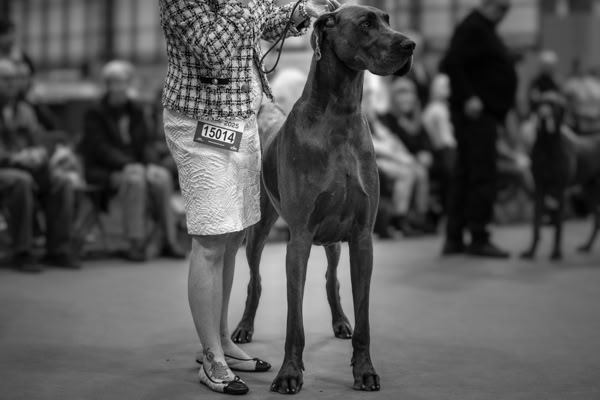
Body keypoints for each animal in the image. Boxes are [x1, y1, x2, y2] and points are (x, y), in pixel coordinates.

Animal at [234, 5, 414, 394]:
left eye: (388, 19)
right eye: (366, 23)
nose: (410, 45)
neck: (340, 116)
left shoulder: (362, 236)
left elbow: (364, 318)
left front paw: (364, 370)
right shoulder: (299, 238)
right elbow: (294, 321)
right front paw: (289, 373)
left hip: (333, 238)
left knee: (332, 278)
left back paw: (340, 321)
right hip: (259, 229)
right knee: (255, 280)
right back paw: (243, 327)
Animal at [521, 91, 600, 260]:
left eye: (552, 105)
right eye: (540, 104)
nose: (543, 116)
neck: (547, 145)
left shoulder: (560, 190)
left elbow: (558, 225)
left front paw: (556, 253)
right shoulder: (539, 188)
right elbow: (536, 223)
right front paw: (531, 252)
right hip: (588, 191)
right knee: (597, 220)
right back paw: (587, 246)